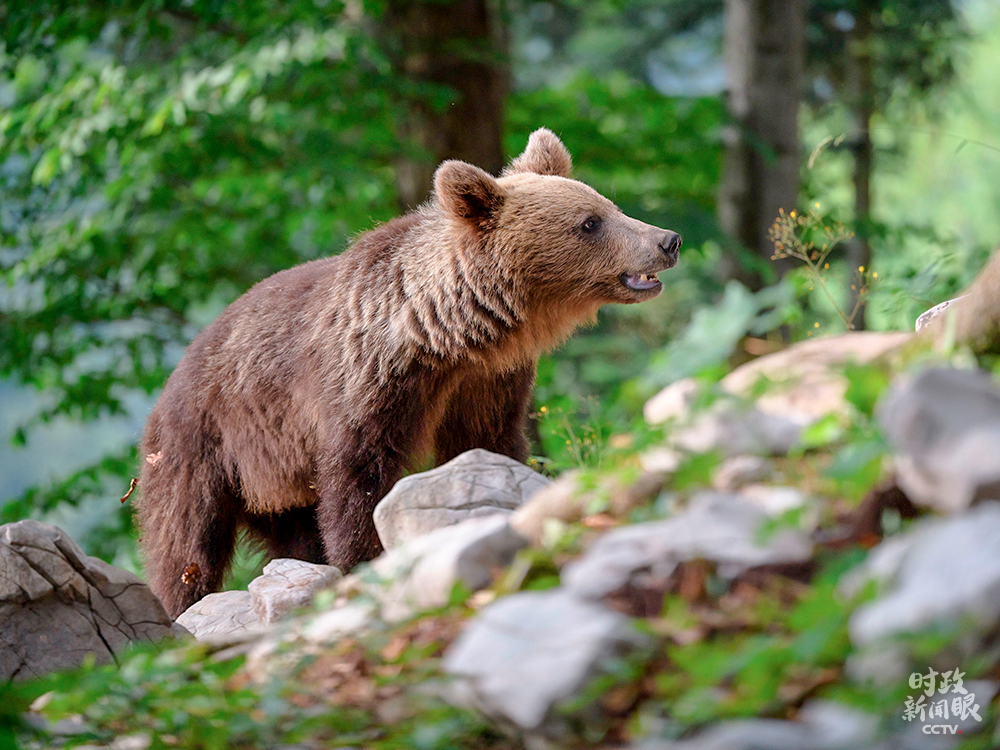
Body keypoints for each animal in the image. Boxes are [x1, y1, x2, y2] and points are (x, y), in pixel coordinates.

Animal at [135, 128, 680, 616]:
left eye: (609, 205)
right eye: (590, 222)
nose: (667, 240)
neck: (442, 335)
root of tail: (169, 384)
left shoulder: (487, 383)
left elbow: (488, 444)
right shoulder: (365, 381)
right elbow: (358, 476)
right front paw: (363, 560)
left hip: (276, 479)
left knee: (291, 535)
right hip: (207, 446)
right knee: (185, 541)